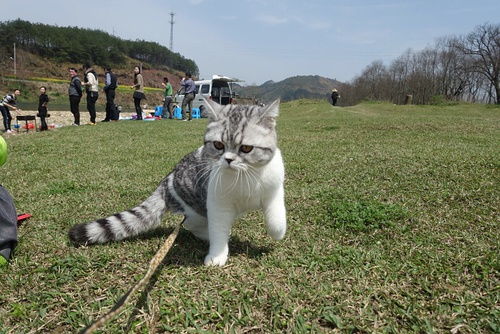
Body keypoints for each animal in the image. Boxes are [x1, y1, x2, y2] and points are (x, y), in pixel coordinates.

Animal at [69, 98, 288, 264]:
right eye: (218, 145)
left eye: (246, 148)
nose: (228, 160)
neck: (245, 176)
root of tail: (167, 179)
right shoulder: (218, 205)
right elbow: (218, 230)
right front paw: (217, 256)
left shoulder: (274, 188)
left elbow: (276, 214)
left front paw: (277, 231)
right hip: (197, 209)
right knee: (192, 225)